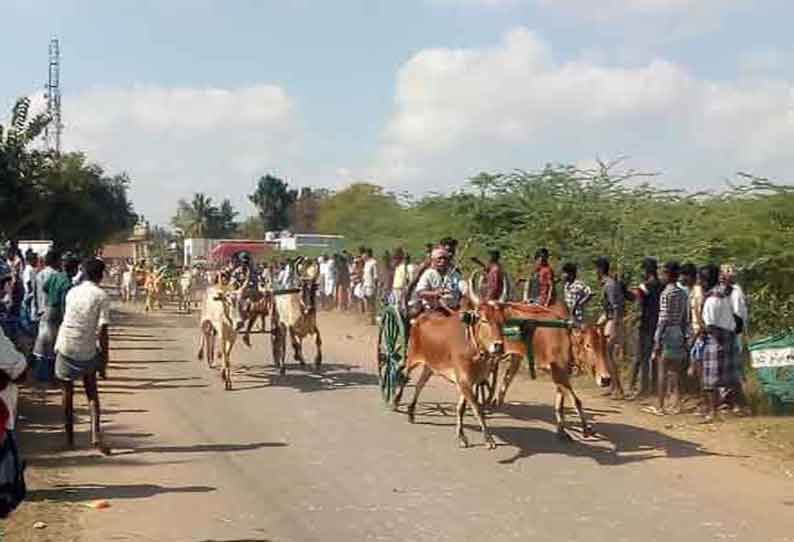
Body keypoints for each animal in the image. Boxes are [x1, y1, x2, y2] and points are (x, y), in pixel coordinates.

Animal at [392, 304, 504, 452]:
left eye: (502, 321)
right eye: (484, 320)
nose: (499, 345)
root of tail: (421, 316)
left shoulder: (471, 382)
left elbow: (461, 408)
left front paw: (461, 436)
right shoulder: (463, 380)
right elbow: (477, 409)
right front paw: (488, 439)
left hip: (430, 366)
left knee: (419, 385)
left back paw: (411, 412)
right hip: (412, 358)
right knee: (404, 376)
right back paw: (395, 401)